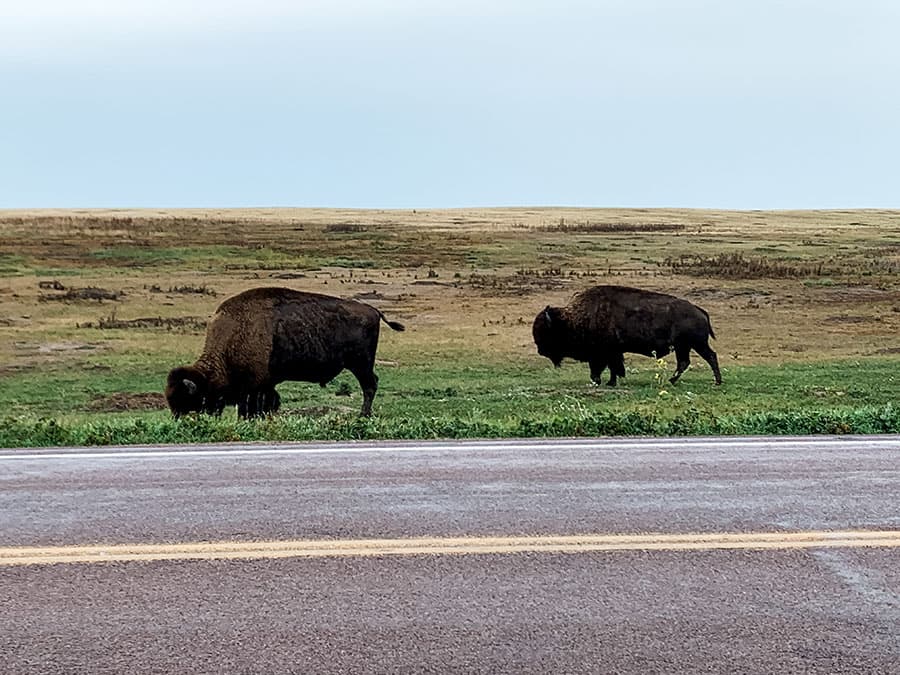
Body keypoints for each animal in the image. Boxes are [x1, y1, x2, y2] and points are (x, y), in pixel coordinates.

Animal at [165, 288, 404, 420]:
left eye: (189, 401)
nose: (179, 422)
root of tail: (373, 310)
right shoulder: (264, 385)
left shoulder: (254, 387)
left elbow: (251, 408)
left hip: (360, 364)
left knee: (369, 385)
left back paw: (363, 415)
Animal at [532, 286, 720, 388]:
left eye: (545, 331)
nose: (540, 350)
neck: (572, 319)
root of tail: (699, 310)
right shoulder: (613, 353)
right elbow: (614, 368)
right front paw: (610, 382)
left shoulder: (603, 353)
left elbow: (604, 368)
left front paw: (600, 381)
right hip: (685, 346)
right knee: (685, 362)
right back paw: (672, 381)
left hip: (695, 344)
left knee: (709, 357)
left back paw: (716, 382)